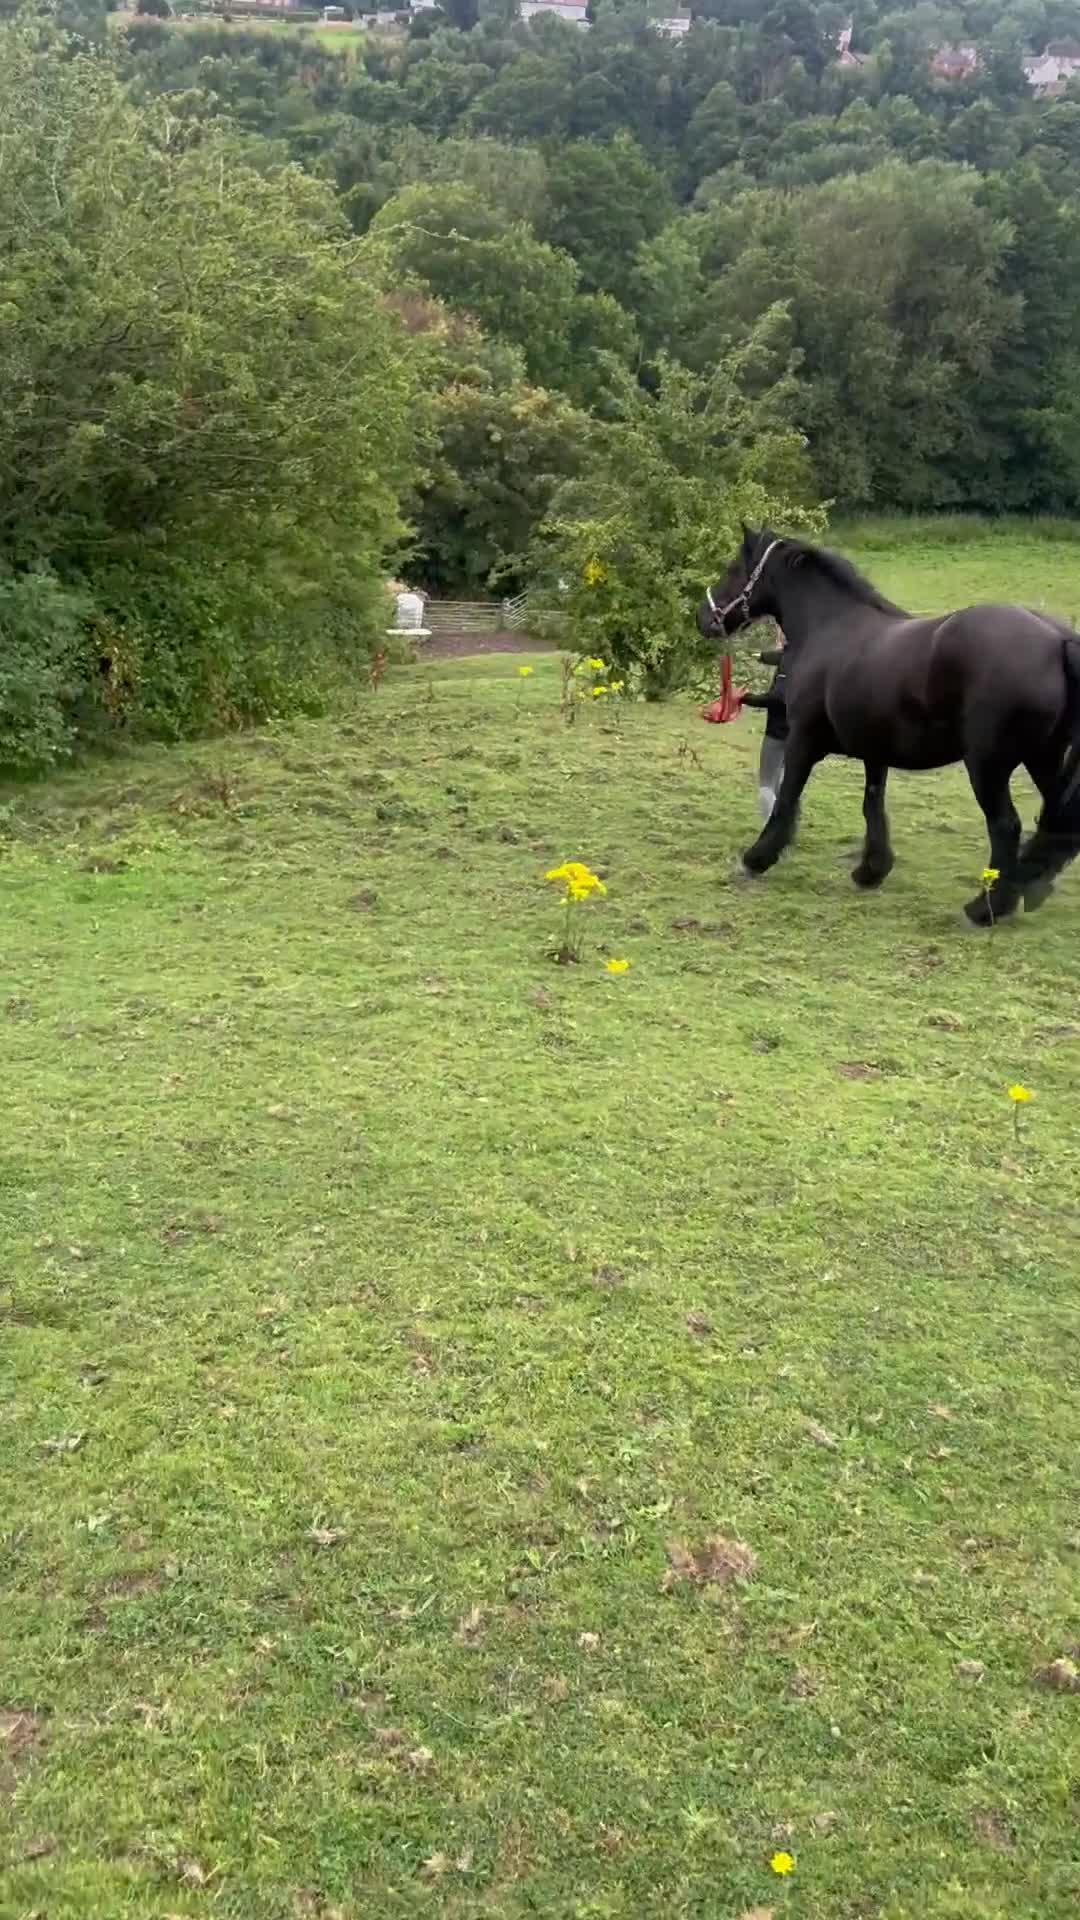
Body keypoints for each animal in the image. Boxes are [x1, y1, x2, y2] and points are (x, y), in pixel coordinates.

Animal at [697, 527, 1080, 925]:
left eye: (734, 567)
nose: (703, 618)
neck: (831, 625)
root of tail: (1058, 640)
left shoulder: (802, 740)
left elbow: (787, 799)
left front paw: (756, 859)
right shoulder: (874, 751)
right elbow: (873, 806)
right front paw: (871, 871)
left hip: (988, 767)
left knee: (1007, 827)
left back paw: (986, 907)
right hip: (1044, 757)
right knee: (1057, 824)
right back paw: (1030, 887)